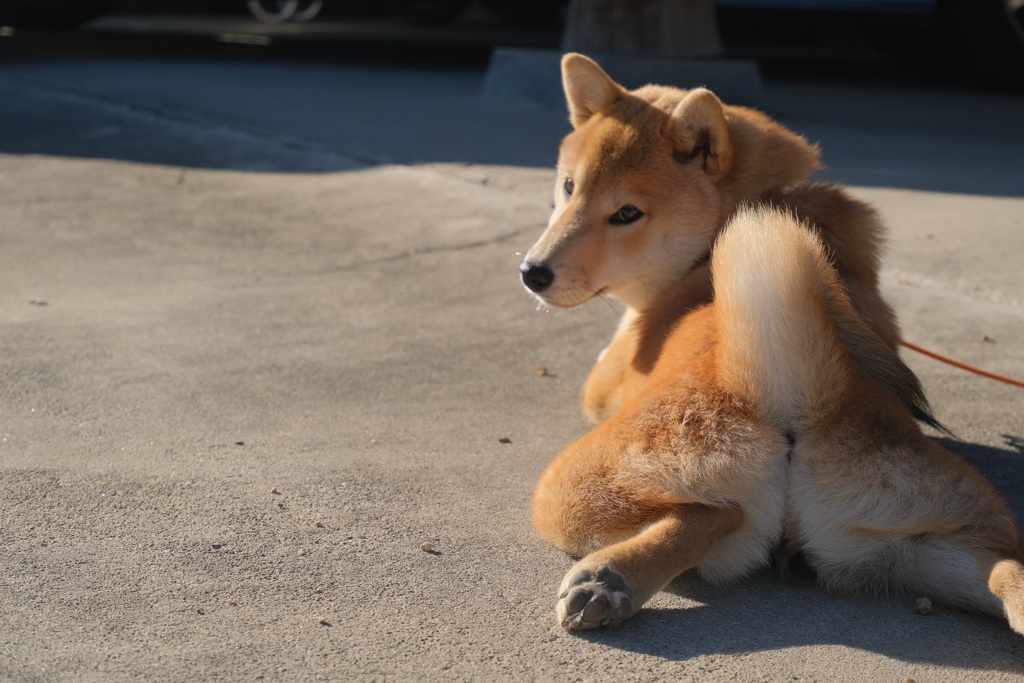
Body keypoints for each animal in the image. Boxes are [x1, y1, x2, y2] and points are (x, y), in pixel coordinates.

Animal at [520, 53, 1024, 634]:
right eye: (567, 187)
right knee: (1002, 569)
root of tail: (796, 395)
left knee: (715, 511)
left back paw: (610, 579)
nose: (533, 272)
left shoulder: (600, 389)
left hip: (567, 492)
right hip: (920, 540)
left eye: (627, 213)